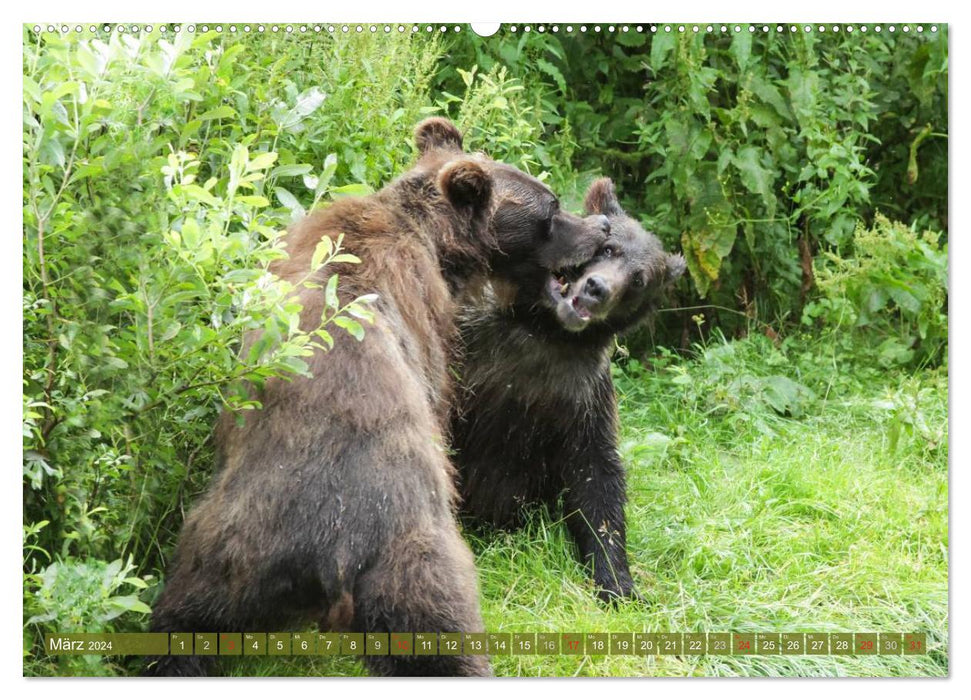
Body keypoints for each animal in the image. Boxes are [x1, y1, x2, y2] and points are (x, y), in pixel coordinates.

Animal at [146, 121, 608, 680]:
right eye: (550, 208)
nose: (602, 225)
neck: (431, 239)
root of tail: (335, 551)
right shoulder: (425, 318)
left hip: (232, 552)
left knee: (187, 621)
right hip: (392, 561)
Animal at [450, 178, 684, 604]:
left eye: (638, 280)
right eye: (609, 249)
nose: (597, 288)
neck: (545, 331)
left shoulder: (580, 394)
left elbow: (597, 478)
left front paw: (617, 582)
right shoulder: (472, 353)